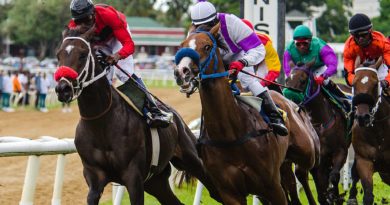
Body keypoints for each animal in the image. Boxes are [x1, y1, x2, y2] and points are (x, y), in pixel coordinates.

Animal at [53, 25, 221, 205]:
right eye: (58, 55)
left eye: (83, 54)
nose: (63, 89)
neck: (101, 123)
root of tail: (176, 118)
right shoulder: (94, 176)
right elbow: (92, 195)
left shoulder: (133, 176)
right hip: (155, 182)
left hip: (191, 160)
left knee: (215, 190)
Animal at [174, 22, 320, 205]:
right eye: (181, 46)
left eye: (207, 46)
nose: (181, 72)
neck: (230, 134)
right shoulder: (230, 193)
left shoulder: (272, 187)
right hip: (283, 167)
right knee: (292, 184)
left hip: (307, 152)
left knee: (304, 173)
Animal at [284, 60, 352, 203]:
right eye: (287, 80)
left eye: (303, 80)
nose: (288, 100)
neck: (320, 124)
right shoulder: (317, 160)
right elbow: (320, 189)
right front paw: (326, 197)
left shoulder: (341, 151)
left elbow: (334, 176)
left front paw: (334, 196)